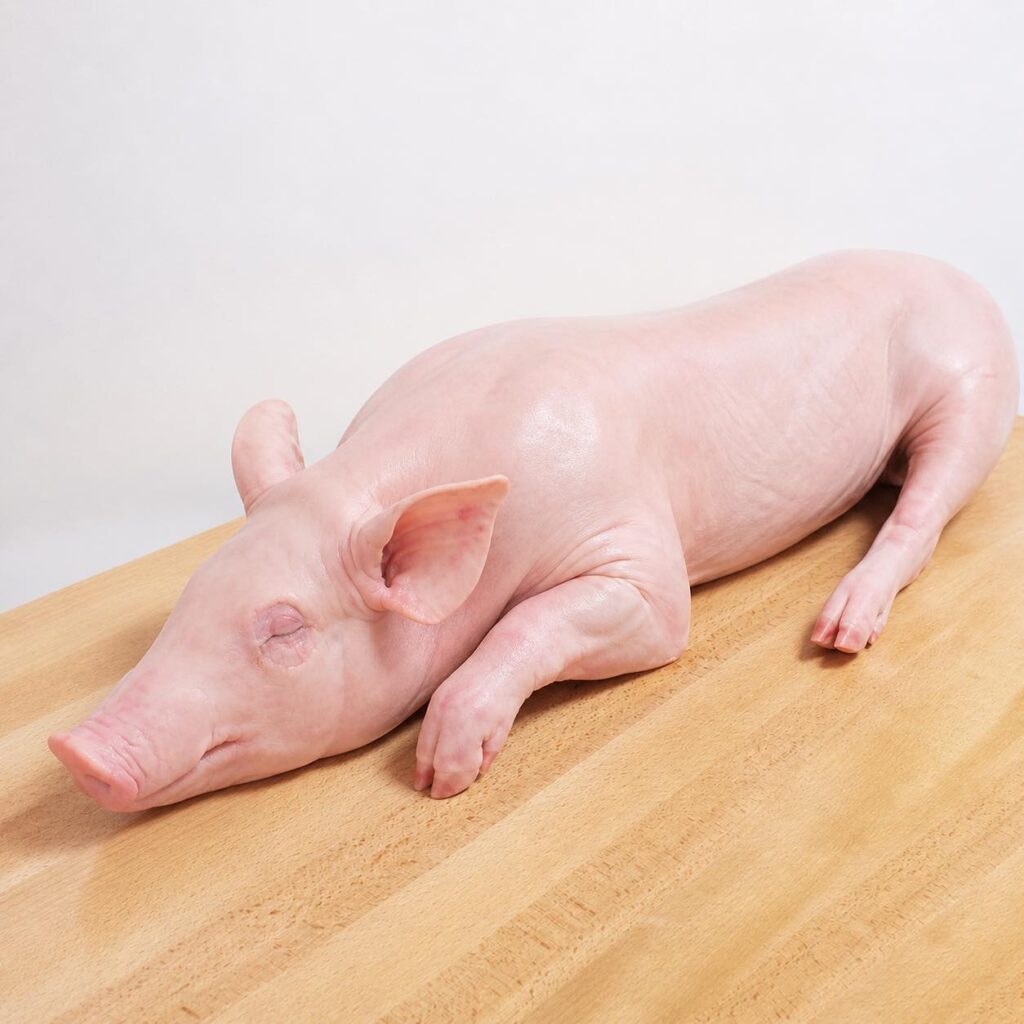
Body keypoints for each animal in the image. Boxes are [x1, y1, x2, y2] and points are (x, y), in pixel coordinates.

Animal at [49, 249, 1019, 810]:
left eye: (282, 631)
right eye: (193, 592)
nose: (75, 751)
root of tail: (965, 277)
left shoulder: (632, 552)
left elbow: (629, 622)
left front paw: (440, 775)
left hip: (973, 385)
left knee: (924, 511)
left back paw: (839, 630)